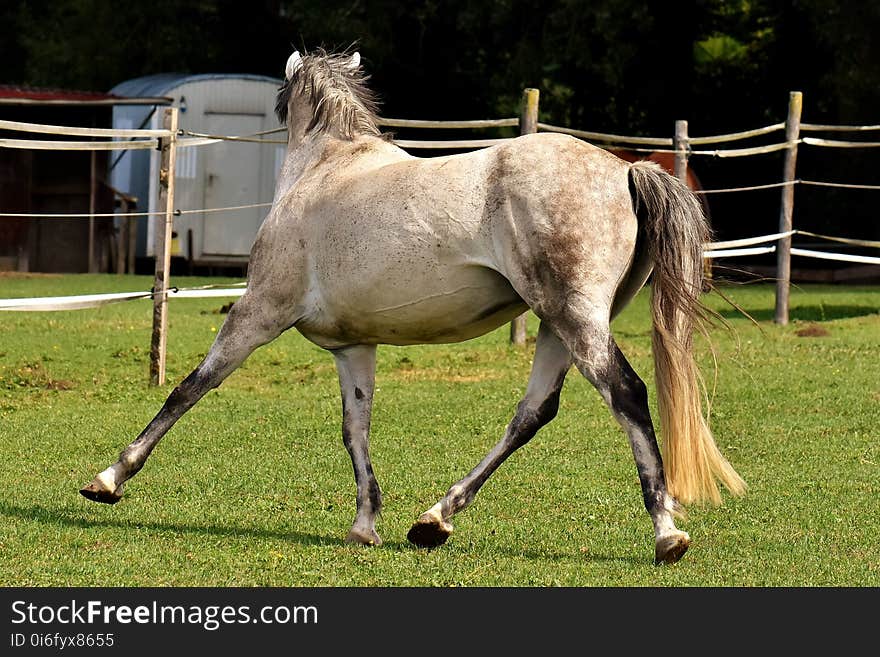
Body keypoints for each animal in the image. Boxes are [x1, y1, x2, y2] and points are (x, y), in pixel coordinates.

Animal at [81, 48, 744, 568]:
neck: (326, 170)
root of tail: (626, 169)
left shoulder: (258, 312)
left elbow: (190, 388)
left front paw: (109, 480)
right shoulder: (353, 346)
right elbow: (356, 427)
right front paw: (364, 526)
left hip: (576, 319)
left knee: (626, 394)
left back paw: (666, 534)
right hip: (559, 325)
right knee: (532, 414)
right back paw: (434, 519)